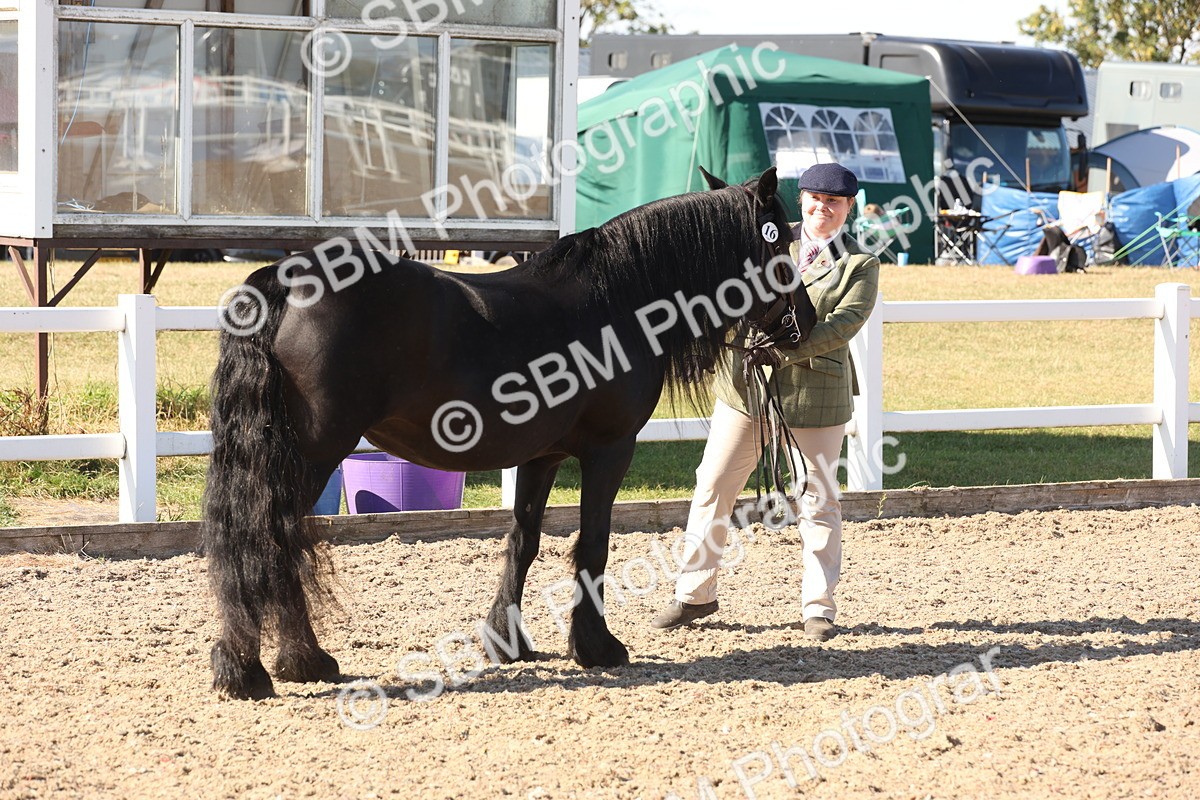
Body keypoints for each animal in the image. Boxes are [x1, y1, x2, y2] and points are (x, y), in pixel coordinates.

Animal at [203, 166, 817, 699]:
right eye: (781, 245)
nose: (806, 322)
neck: (619, 299)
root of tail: (284, 279)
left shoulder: (541, 456)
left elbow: (523, 540)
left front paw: (507, 642)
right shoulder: (609, 451)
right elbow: (593, 543)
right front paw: (597, 647)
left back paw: (283, 663)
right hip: (311, 455)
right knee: (269, 539)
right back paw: (268, 667)